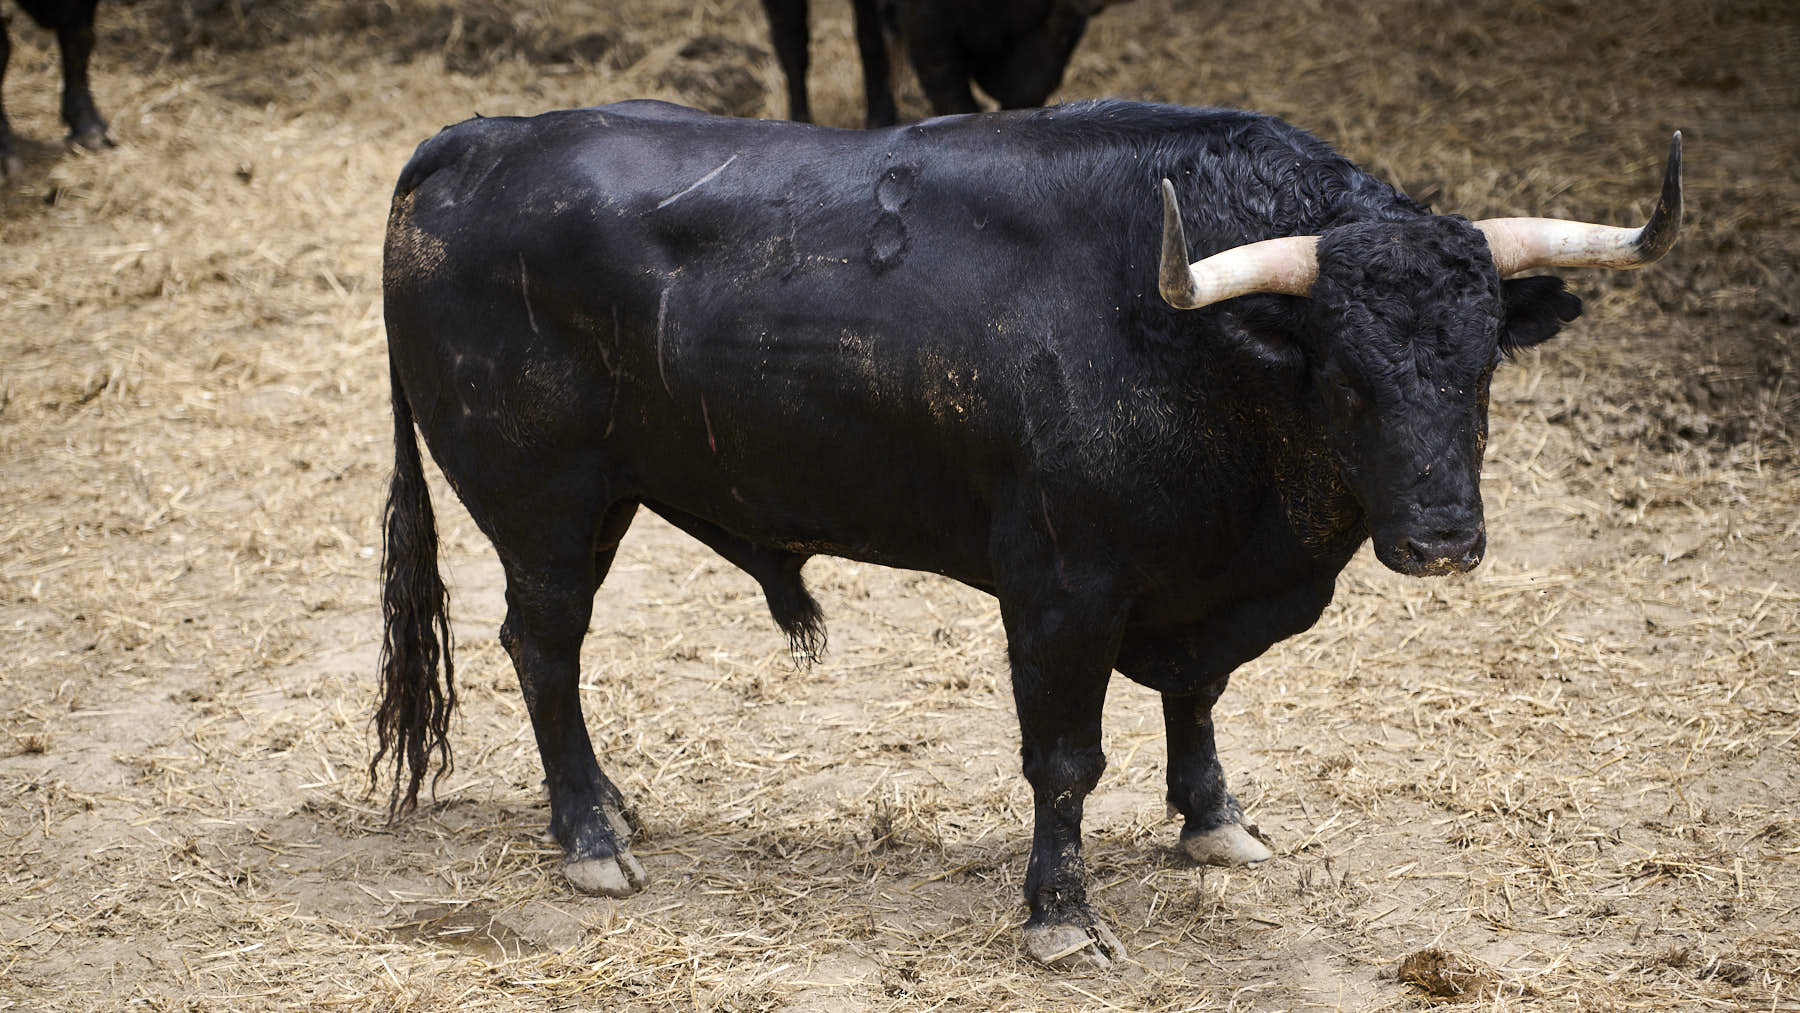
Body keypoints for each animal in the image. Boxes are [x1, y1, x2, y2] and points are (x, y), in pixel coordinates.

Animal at [383, 98, 1684, 971]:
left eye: (1482, 366)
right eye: (1347, 376)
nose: (1442, 539)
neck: (1195, 345)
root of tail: (475, 140)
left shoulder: (1191, 585)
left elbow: (1197, 697)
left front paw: (1213, 819)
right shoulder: (1062, 588)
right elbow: (1065, 757)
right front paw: (1062, 913)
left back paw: (614, 803)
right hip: (547, 506)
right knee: (544, 649)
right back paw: (590, 833)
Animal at [756, 0, 1123, 126]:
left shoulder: (1058, 30)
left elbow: (1025, 93)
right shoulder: (928, 27)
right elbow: (954, 100)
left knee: (870, 38)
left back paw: (880, 118)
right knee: (791, 40)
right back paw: (799, 119)